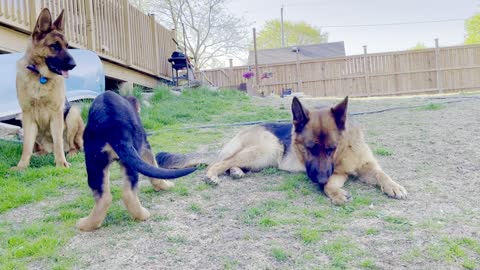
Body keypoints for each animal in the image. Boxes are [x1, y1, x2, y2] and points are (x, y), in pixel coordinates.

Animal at [78, 92, 197, 231]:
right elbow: (154, 165)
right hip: (131, 156)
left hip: (94, 162)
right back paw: (143, 215)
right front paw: (165, 185)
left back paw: (86, 224)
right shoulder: (145, 146)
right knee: (128, 193)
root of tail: (110, 124)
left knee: (103, 197)